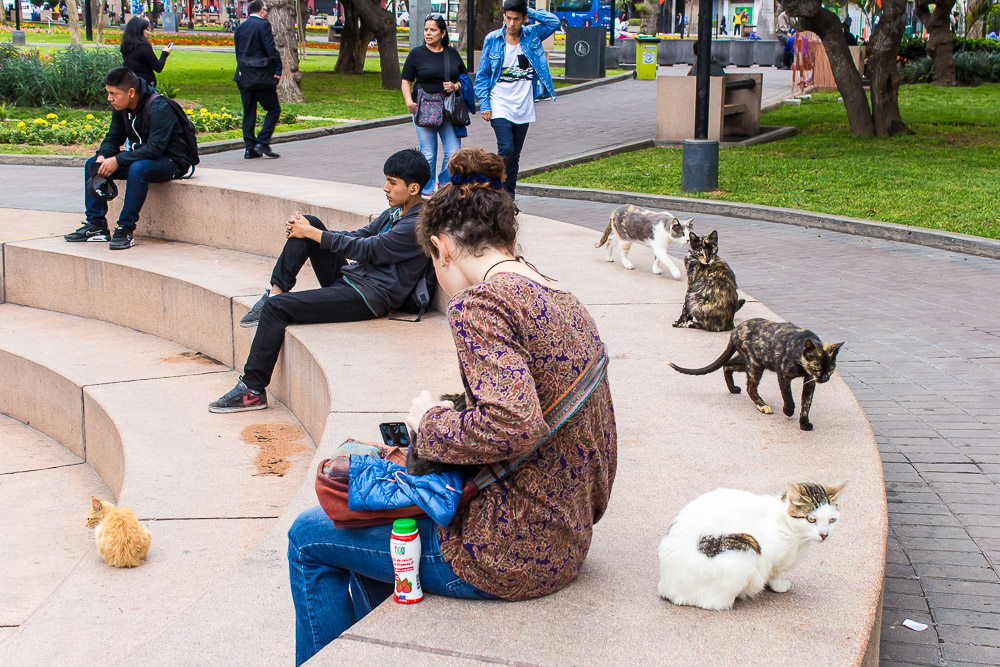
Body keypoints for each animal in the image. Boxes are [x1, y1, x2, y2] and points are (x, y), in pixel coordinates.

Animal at [660, 482, 848, 612]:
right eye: (811, 519)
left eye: (832, 520)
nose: (824, 534)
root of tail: (666, 587)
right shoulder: (770, 555)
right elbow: (775, 573)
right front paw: (779, 586)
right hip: (746, 549)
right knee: (713, 603)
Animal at [672, 320, 844, 434]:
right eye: (817, 367)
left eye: (831, 369)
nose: (824, 379)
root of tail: (735, 330)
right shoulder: (783, 375)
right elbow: (788, 397)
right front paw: (788, 410)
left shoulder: (809, 381)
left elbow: (806, 403)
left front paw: (804, 423)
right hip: (755, 365)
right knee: (750, 387)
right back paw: (762, 405)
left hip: (750, 361)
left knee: (727, 365)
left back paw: (733, 388)